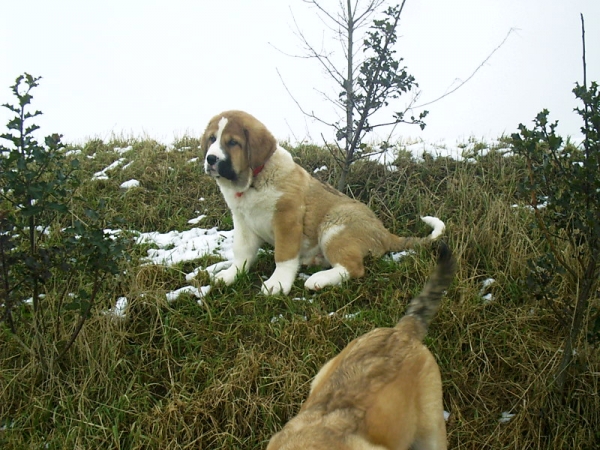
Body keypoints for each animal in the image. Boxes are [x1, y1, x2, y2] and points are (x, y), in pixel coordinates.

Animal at [202, 110, 446, 296]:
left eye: (233, 143)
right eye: (212, 139)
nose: (210, 159)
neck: (253, 181)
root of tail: (384, 233)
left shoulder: (287, 219)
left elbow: (283, 255)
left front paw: (277, 283)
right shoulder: (242, 221)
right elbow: (242, 252)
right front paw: (231, 274)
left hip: (334, 227)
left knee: (354, 267)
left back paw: (318, 279)